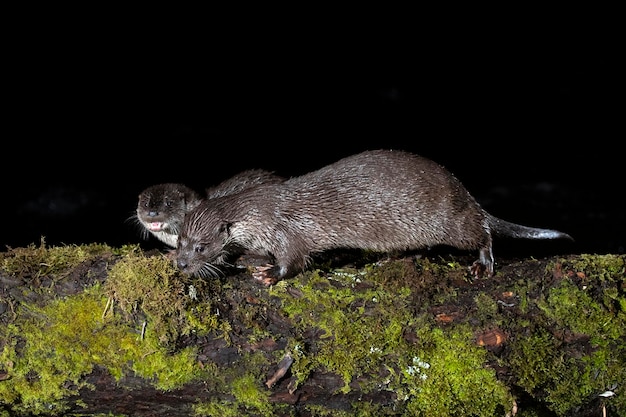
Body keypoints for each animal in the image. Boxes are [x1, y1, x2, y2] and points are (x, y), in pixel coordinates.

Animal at [174, 150, 572, 282]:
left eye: (201, 247)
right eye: (180, 241)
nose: (180, 265)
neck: (258, 212)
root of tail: (464, 191)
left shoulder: (285, 228)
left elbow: (295, 260)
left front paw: (271, 273)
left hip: (451, 219)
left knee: (483, 230)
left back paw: (483, 264)